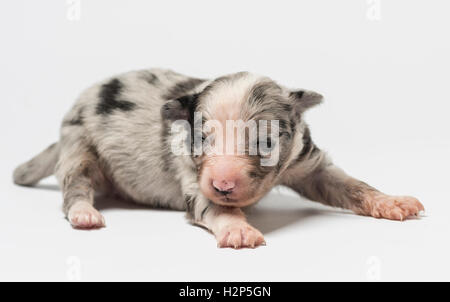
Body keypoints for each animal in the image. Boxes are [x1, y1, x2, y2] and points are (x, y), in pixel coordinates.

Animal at [12, 68, 424, 248]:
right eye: (201, 138)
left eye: (266, 143)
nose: (224, 183)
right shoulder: (194, 180)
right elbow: (213, 206)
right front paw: (238, 229)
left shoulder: (309, 164)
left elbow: (349, 184)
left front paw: (393, 202)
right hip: (79, 145)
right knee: (75, 186)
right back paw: (84, 213)